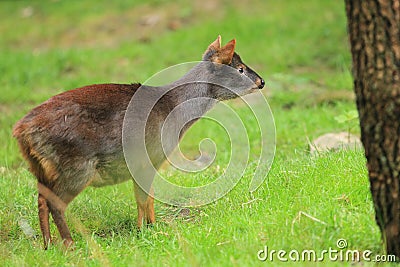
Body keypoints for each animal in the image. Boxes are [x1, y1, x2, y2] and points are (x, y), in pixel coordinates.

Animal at [12, 35, 264, 249]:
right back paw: (69, 244)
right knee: (55, 203)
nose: (261, 81)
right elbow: (144, 199)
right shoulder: (148, 155)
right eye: (240, 69)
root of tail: (22, 130)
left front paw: (151, 226)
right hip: (76, 167)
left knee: (41, 199)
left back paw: (47, 243)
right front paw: (145, 231)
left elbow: (147, 197)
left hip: (42, 168)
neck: (174, 109)